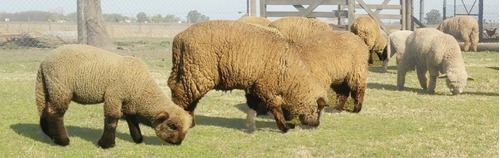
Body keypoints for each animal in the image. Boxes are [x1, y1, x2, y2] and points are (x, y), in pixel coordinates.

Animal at [35, 44, 193, 148]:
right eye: (172, 126)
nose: (178, 143)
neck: (141, 88)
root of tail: (43, 63)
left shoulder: (128, 102)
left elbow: (132, 120)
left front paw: (137, 138)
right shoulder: (114, 95)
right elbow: (112, 119)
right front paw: (106, 144)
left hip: (48, 88)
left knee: (45, 111)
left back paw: (50, 135)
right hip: (60, 88)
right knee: (55, 114)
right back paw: (62, 141)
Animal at [168, 20, 330, 133]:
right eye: (318, 110)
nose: (316, 125)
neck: (289, 76)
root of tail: (178, 39)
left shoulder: (254, 85)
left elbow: (253, 105)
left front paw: (251, 126)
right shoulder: (265, 87)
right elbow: (276, 107)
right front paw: (284, 127)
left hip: (185, 71)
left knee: (183, 95)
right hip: (195, 74)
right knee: (182, 97)